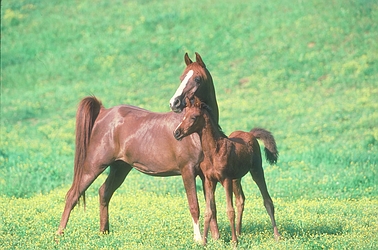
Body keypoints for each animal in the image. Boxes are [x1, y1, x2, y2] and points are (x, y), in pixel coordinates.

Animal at [55, 53, 219, 242]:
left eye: (197, 79)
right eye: (181, 77)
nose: (175, 103)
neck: (194, 132)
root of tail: (103, 112)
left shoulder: (206, 175)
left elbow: (211, 207)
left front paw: (216, 238)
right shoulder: (187, 171)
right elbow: (194, 206)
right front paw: (198, 240)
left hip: (120, 168)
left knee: (104, 192)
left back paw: (104, 232)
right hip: (93, 166)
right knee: (72, 195)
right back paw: (59, 235)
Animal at [173, 96, 278, 245]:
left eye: (193, 117)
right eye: (183, 116)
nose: (176, 133)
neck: (213, 151)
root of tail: (250, 134)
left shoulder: (225, 179)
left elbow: (229, 210)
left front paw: (234, 242)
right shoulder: (209, 181)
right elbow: (208, 211)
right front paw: (204, 243)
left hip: (256, 170)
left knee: (267, 200)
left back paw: (277, 236)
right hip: (236, 178)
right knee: (240, 200)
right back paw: (239, 233)